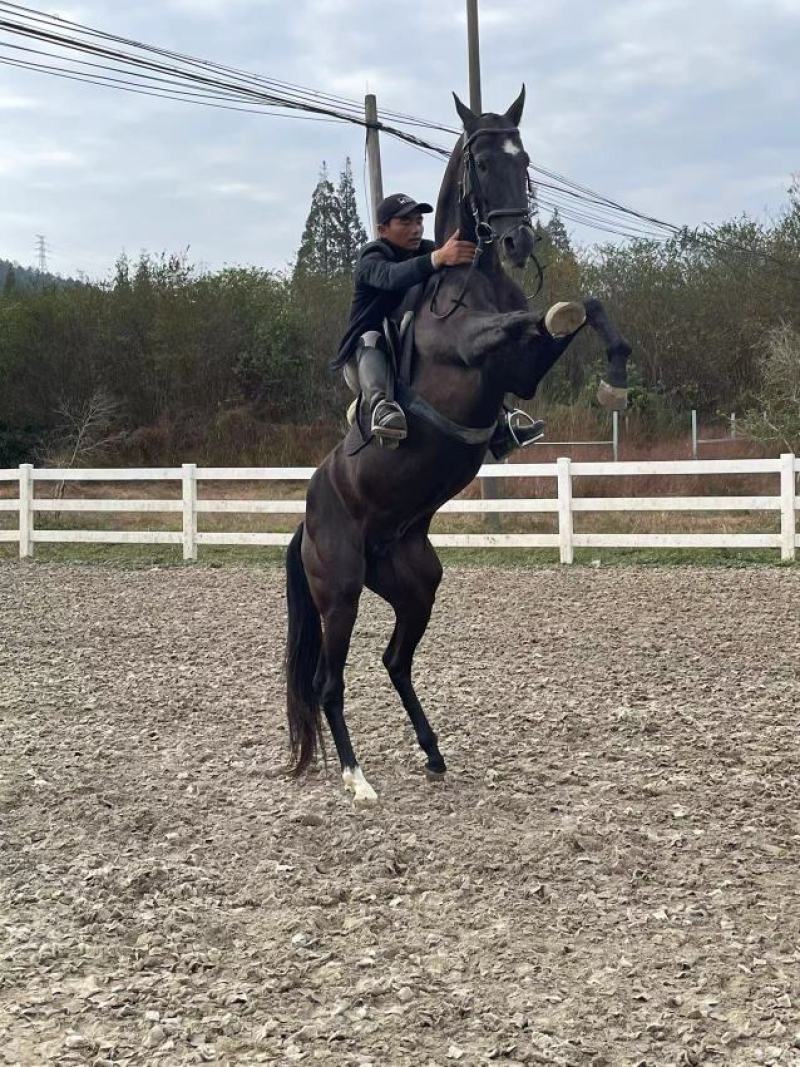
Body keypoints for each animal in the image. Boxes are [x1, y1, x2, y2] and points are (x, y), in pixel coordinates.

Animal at [285, 87, 631, 803]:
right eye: (482, 161)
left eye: (523, 158)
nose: (518, 238)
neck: (472, 279)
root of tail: (305, 521)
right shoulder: (476, 347)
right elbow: (541, 315)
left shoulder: (521, 370)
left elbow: (581, 305)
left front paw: (614, 379)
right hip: (341, 593)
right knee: (330, 683)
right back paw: (357, 780)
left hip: (417, 583)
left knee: (394, 660)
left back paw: (433, 750)